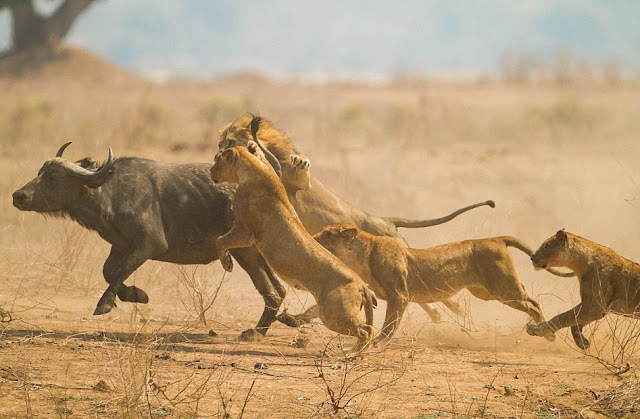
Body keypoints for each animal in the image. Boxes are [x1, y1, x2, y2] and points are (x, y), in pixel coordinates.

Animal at [12, 143, 284, 340]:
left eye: (53, 177)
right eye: (40, 172)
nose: (18, 196)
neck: (110, 192)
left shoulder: (148, 245)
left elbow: (118, 272)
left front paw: (105, 304)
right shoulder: (120, 245)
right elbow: (109, 271)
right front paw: (136, 294)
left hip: (245, 252)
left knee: (272, 291)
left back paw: (256, 332)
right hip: (252, 253)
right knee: (276, 291)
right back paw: (257, 331)